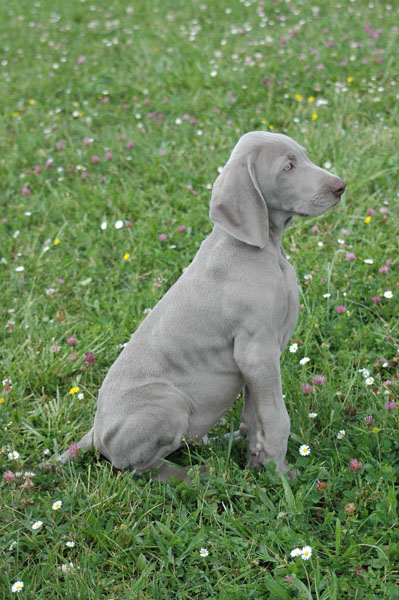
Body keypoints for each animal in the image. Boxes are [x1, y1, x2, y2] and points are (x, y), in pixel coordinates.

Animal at [54, 132, 346, 482]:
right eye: (287, 167)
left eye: (304, 156)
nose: (341, 186)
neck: (265, 249)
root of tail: (95, 433)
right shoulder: (256, 351)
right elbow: (277, 417)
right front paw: (282, 475)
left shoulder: (258, 359)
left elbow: (256, 415)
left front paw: (258, 461)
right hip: (168, 402)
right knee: (140, 469)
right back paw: (200, 474)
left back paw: (221, 443)